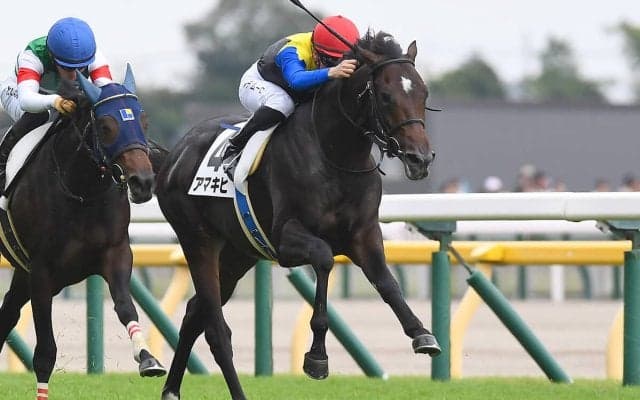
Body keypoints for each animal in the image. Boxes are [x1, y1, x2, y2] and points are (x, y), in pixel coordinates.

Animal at [0, 67, 166, 399]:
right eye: (105, 125)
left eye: (143, 121)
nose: (143, 182)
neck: (81, 192)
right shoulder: (42, 271)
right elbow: (45, 352)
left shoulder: (115, 253)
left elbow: (126, 307)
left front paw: (147, 358)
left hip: (22, 273)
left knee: (6, 314)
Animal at [155, 31, 439, 400]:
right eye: (387, 96)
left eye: (423, 93)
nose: (420, 158)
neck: (334, 154)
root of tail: (173, 155)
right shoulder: (286, 238)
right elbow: (324, 259)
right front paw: (317, 357)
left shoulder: (364, 234)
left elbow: (386, 282)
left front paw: (421, 334)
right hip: (197, 239)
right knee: (217, 332)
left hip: (237, 254)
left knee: (194, 313)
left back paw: (171, 390)